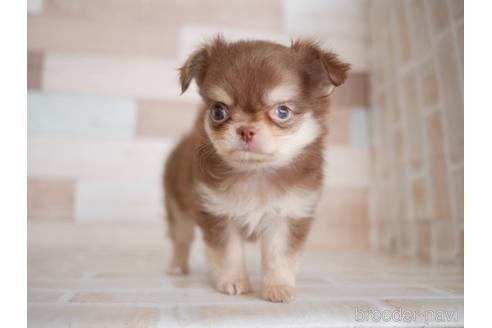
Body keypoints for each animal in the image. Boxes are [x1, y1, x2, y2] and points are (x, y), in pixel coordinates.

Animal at [165, 36, 350, 302]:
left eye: (282, 111)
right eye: (218, 111)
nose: (245, 129)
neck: (256, 172)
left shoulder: (288, 215)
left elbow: (279, 256)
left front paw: (278, 287)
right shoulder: (218, 213)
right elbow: (228, 253)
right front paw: (233, 282)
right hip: (177, 207)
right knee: (181, 238)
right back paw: (177, 267)